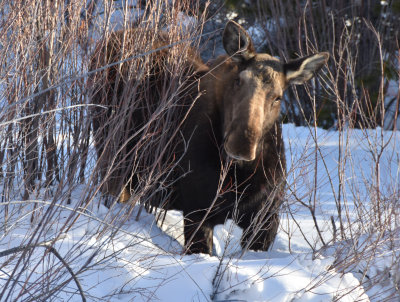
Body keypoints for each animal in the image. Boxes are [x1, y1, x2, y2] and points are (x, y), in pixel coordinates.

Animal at [90, 20, 328, 255]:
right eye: (238, 81)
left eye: (278, 97)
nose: (241, 145)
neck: (239, 174)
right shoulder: (197, 211)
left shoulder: (265, 217)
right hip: (113, 163)